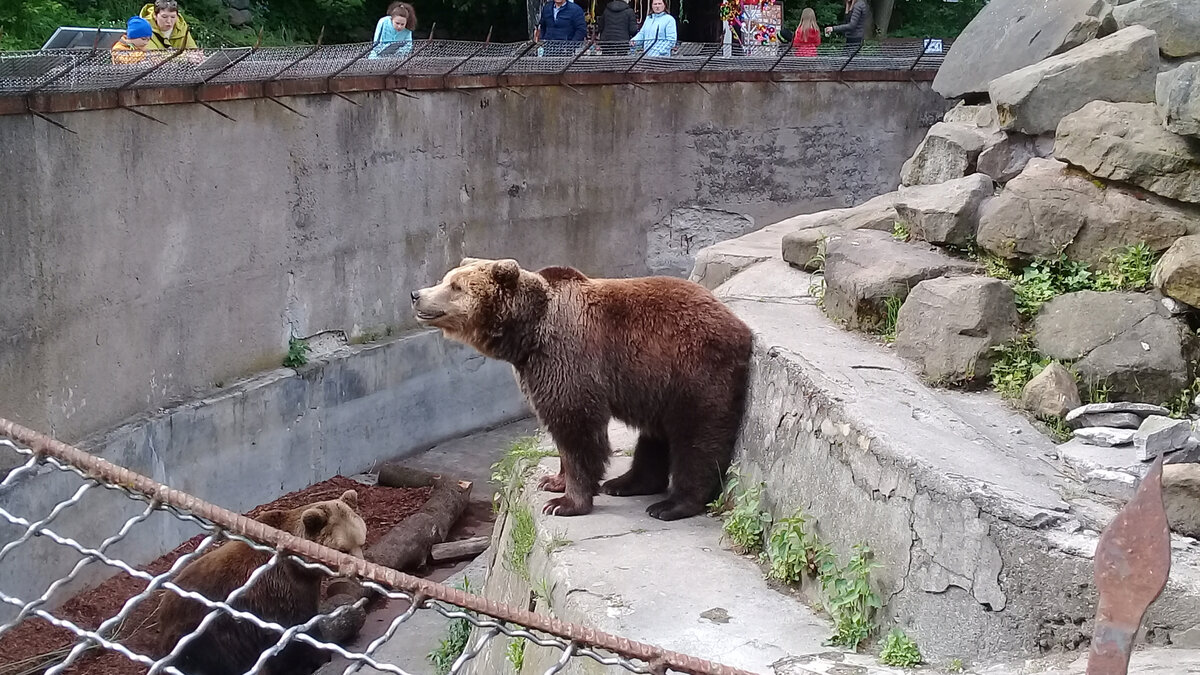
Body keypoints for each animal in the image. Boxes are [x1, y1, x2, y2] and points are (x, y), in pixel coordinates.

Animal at [157, 487, 367, 672]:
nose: (361, 573)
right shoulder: (280, 591)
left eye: (361, 541)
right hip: (203, 634)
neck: (302, 568)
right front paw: (316, 658)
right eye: (343, 550)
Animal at [412, 257, 748, 521]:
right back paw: (626, 483)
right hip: (659, 386)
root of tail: (740, 327)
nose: (416, 294)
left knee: (696, 436)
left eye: (456, 286)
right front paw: (552, 480)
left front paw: (564, 503)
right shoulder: (535, 368)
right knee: (656, 436)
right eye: (447, 278)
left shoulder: (566, 357)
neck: (527, 334)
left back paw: (671, 505)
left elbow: (576, 428)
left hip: (692, 370)